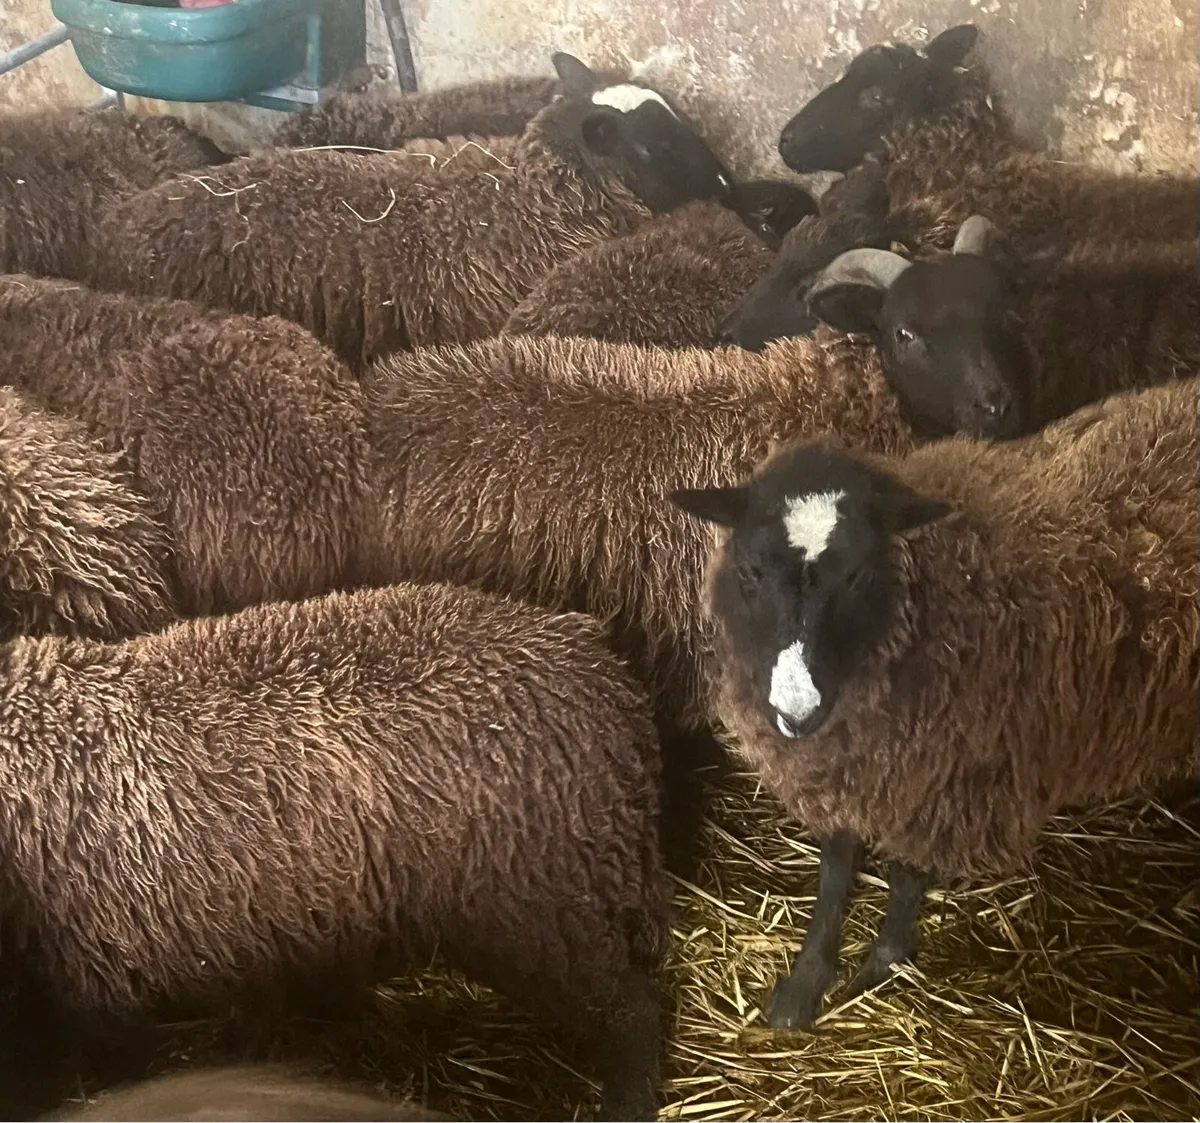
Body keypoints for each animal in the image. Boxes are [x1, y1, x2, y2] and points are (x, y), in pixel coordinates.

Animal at [670, 373, 1199, 1029]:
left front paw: (883, 964)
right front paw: (806, 981)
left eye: (858, 576)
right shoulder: (853, 767)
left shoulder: (937, 775)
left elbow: (904, 876)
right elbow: (834, 870)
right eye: (749, 570)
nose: (797, 710)